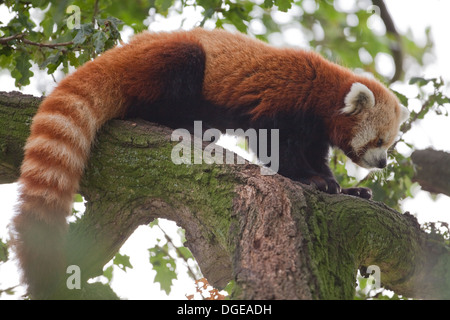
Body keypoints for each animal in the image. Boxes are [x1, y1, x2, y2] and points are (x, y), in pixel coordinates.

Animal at [12, 27, 410, 298]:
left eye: (389, 144)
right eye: (378, 141)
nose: (383, 163)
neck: (324, 90)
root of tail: (118, 52)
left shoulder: (314, 131)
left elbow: (315, 157)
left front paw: (347, 188)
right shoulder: (282, 100)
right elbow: (278, 150)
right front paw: (310, 180)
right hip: (167, 63)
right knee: (181, 67)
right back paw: (180, 123)